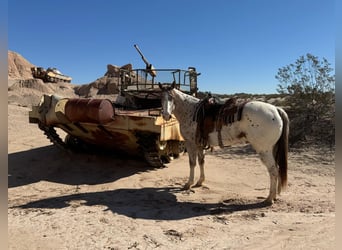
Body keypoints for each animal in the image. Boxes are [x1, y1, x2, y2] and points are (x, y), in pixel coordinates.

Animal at [160, 83, 288, 204]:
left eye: (171, 98)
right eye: (160, 98)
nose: (166, 115)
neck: (191, 111)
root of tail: (276, 109)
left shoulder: (190, 143)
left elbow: (192, 163)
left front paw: (188, 184)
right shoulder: (200, 144)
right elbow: (201, 162)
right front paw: (200, 181)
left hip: (264, 150)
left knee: (273, 171)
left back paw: (269, 199)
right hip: (272, 149)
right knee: (276, 170)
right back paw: (274, 196)